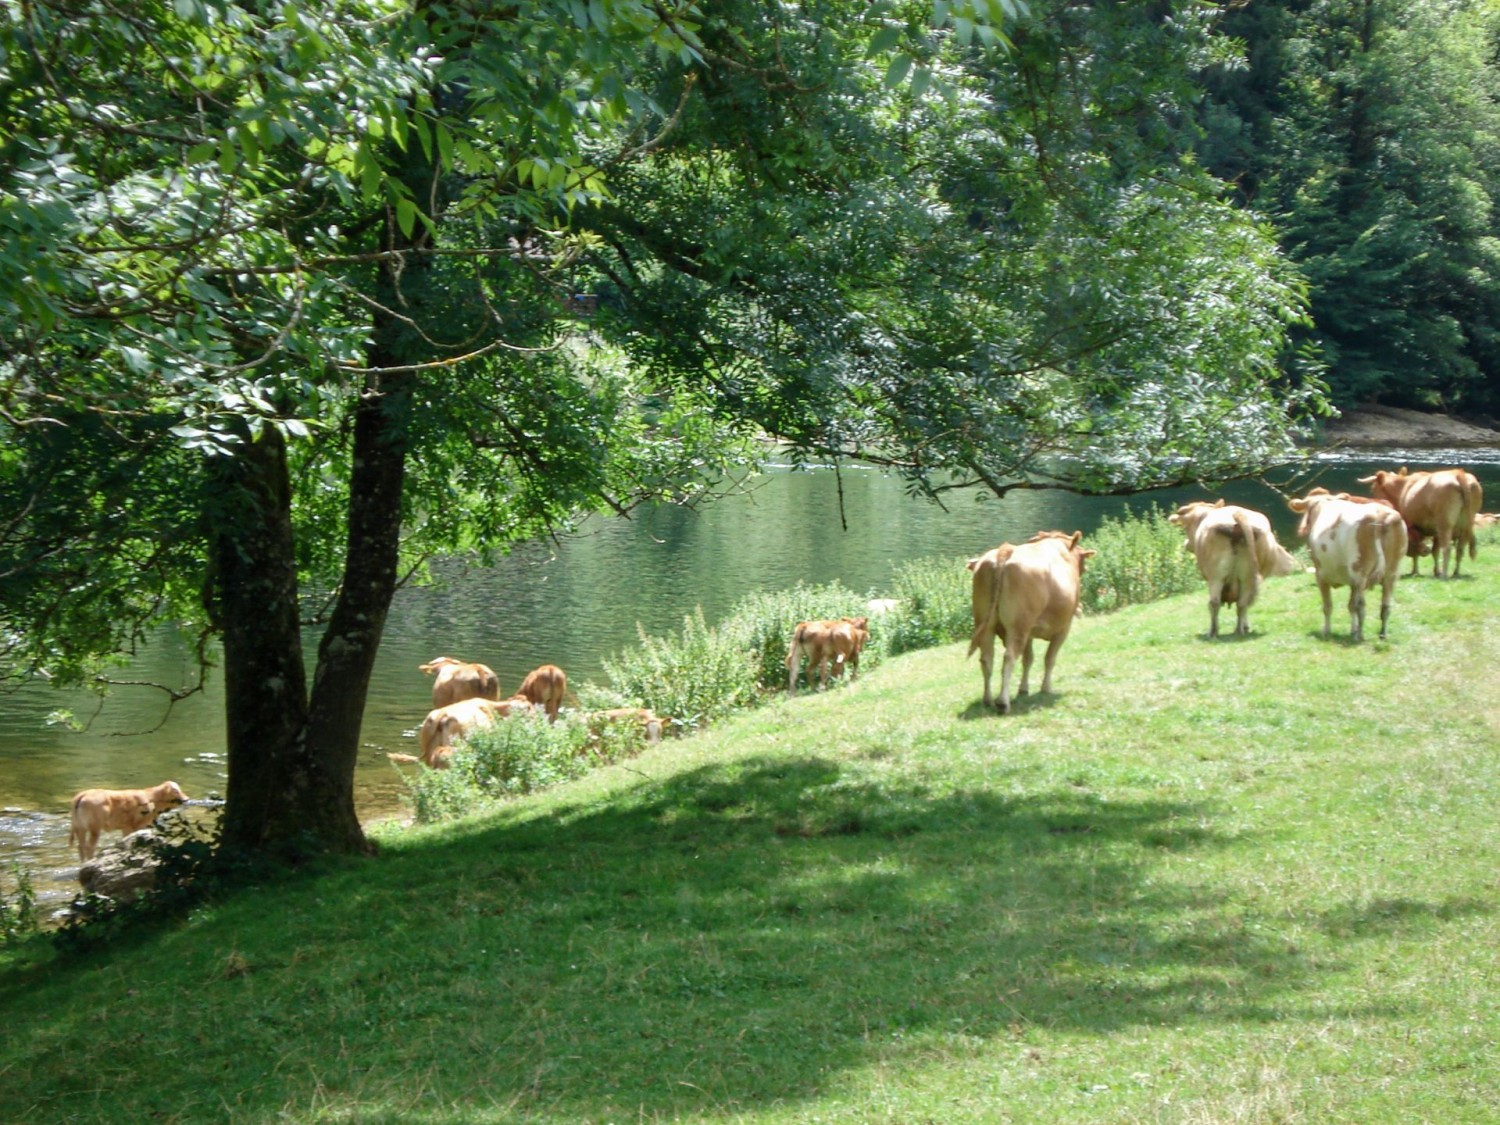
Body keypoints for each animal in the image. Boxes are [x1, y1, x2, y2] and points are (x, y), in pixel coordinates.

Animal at [967, 530, 1094, 714]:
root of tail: (1006, 550)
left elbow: (1028, 659)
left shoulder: (1029, 633)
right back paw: (1003, 702)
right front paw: (1046, 688)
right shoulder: (1063, 628)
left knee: (987, 659)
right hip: (1018, 626)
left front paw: (1023, 689)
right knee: (1009, 657)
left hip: (986, 624)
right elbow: (1049, 658)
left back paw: (987, 700)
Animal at [1168, 500, 1297, 637]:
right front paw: (1246, 626)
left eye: (1186, 526)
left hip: (1216, 576)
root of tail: (1237, 515)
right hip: (1246, 576)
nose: (1186, 544)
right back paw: (1239, 630)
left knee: (1215, 603)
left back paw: (1213, 632)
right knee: (1242, 603)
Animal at [1287, 491, 1408, 641]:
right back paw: (1382, 634)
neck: (1322, 505)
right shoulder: (1351, 582)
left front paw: (1327, 631)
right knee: (1385, 606)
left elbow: (1328, 606)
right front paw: (1352, 630)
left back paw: (1359, 635)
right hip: (1391, 572)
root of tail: (1379, 514)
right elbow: (1350, 606)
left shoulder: (1320, 575)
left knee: (1360, 606)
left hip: (1359, 572)